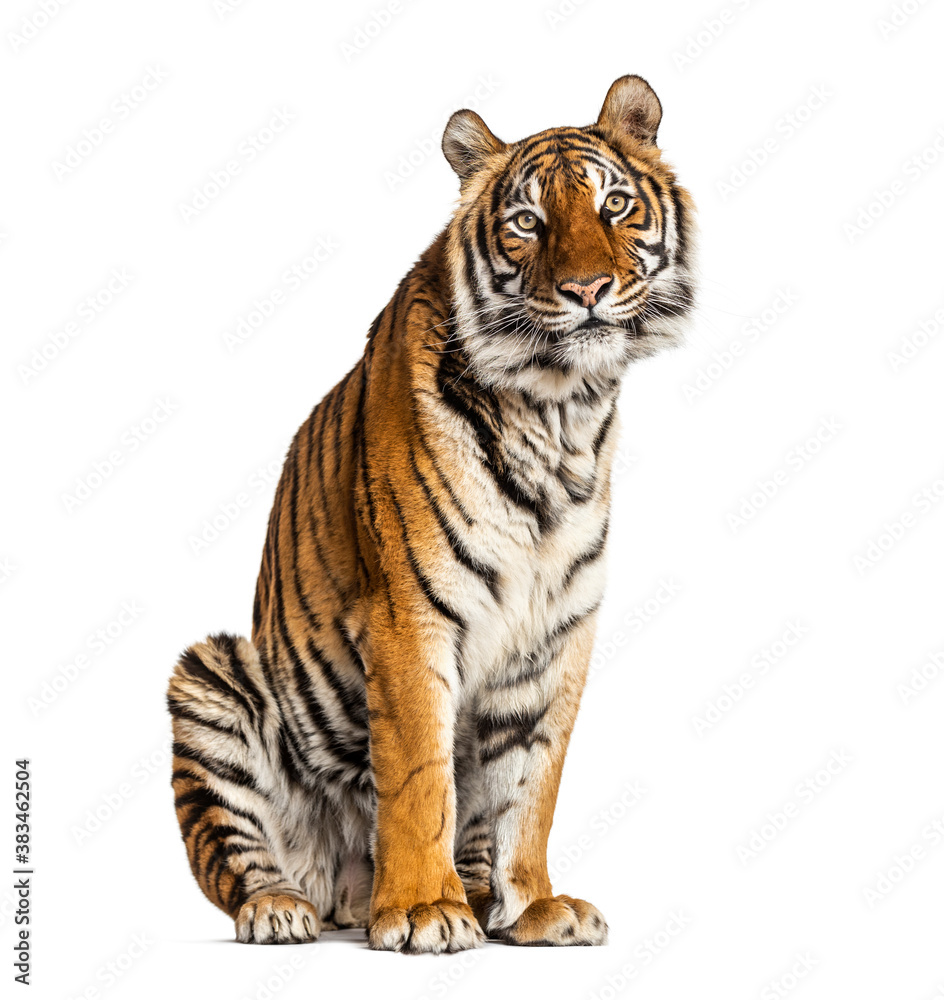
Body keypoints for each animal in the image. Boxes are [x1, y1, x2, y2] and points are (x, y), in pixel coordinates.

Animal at [167, 74, 696, 953]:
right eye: (528, 222)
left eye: (615, 205)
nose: (587, 291)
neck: (560, 413)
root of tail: (343, 891)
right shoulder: (408, 617)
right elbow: (418, 775)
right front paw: (421, 909)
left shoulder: (555, 636)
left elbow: (531, 788)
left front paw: (535, 906)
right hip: (212, 675)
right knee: (234, 858)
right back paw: (285, 908)